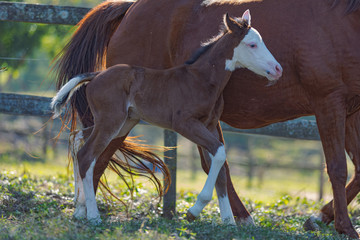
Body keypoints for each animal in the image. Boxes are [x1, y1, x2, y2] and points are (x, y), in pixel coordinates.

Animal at [53, 0, 360, 237]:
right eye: (252, 44)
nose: (277, 69)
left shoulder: (350, 109)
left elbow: (220, 162)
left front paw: (319, 218)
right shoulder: (328, 100)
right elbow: (337, 167)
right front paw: (344, 227)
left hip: (123, 122)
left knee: (85, 148)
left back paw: (81, 211)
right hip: (115, 122)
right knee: (89, 155)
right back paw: (91, 215)